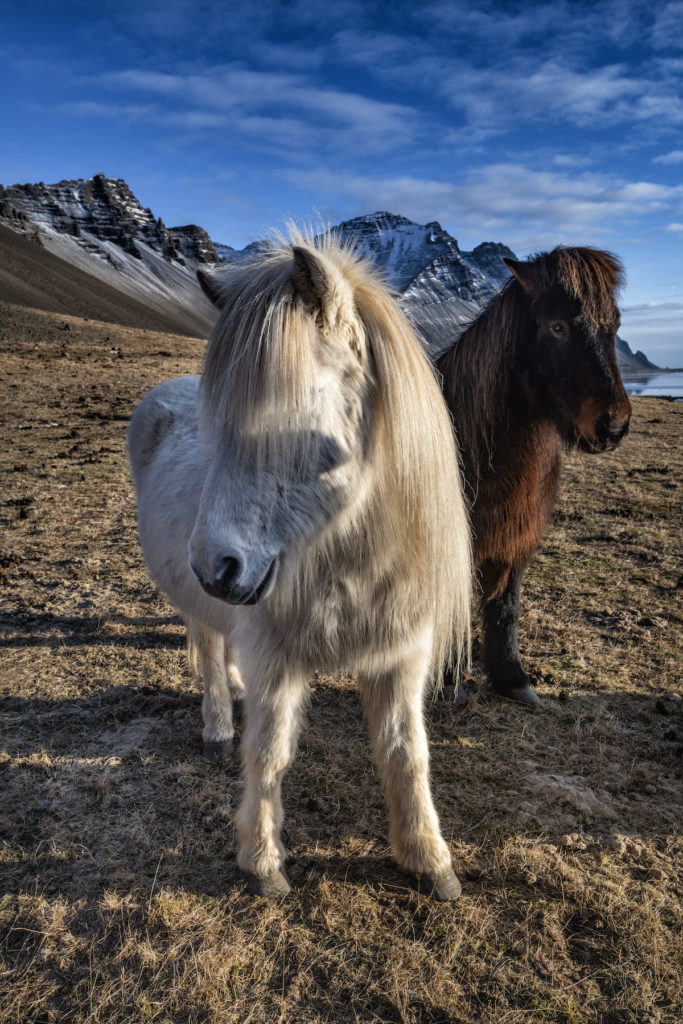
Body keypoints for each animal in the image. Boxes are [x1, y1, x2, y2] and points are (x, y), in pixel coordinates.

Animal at [125, 230, 473, 897]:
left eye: (290, 411)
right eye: (215, 424)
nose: (217, 567)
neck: (348, 560)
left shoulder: (401, 657)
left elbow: (405, 752)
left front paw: (427, 859)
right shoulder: (278, 659)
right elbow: (269, 752)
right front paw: (261, 862)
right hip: (198, 604)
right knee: (208, 645)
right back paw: (217, 723)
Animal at [440, 245, 634, 704]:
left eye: (615, 324)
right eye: (557, 326)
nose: (614, 425)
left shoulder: (516, 537)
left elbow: (506, 606)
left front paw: (512, 678)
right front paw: (450, 680)